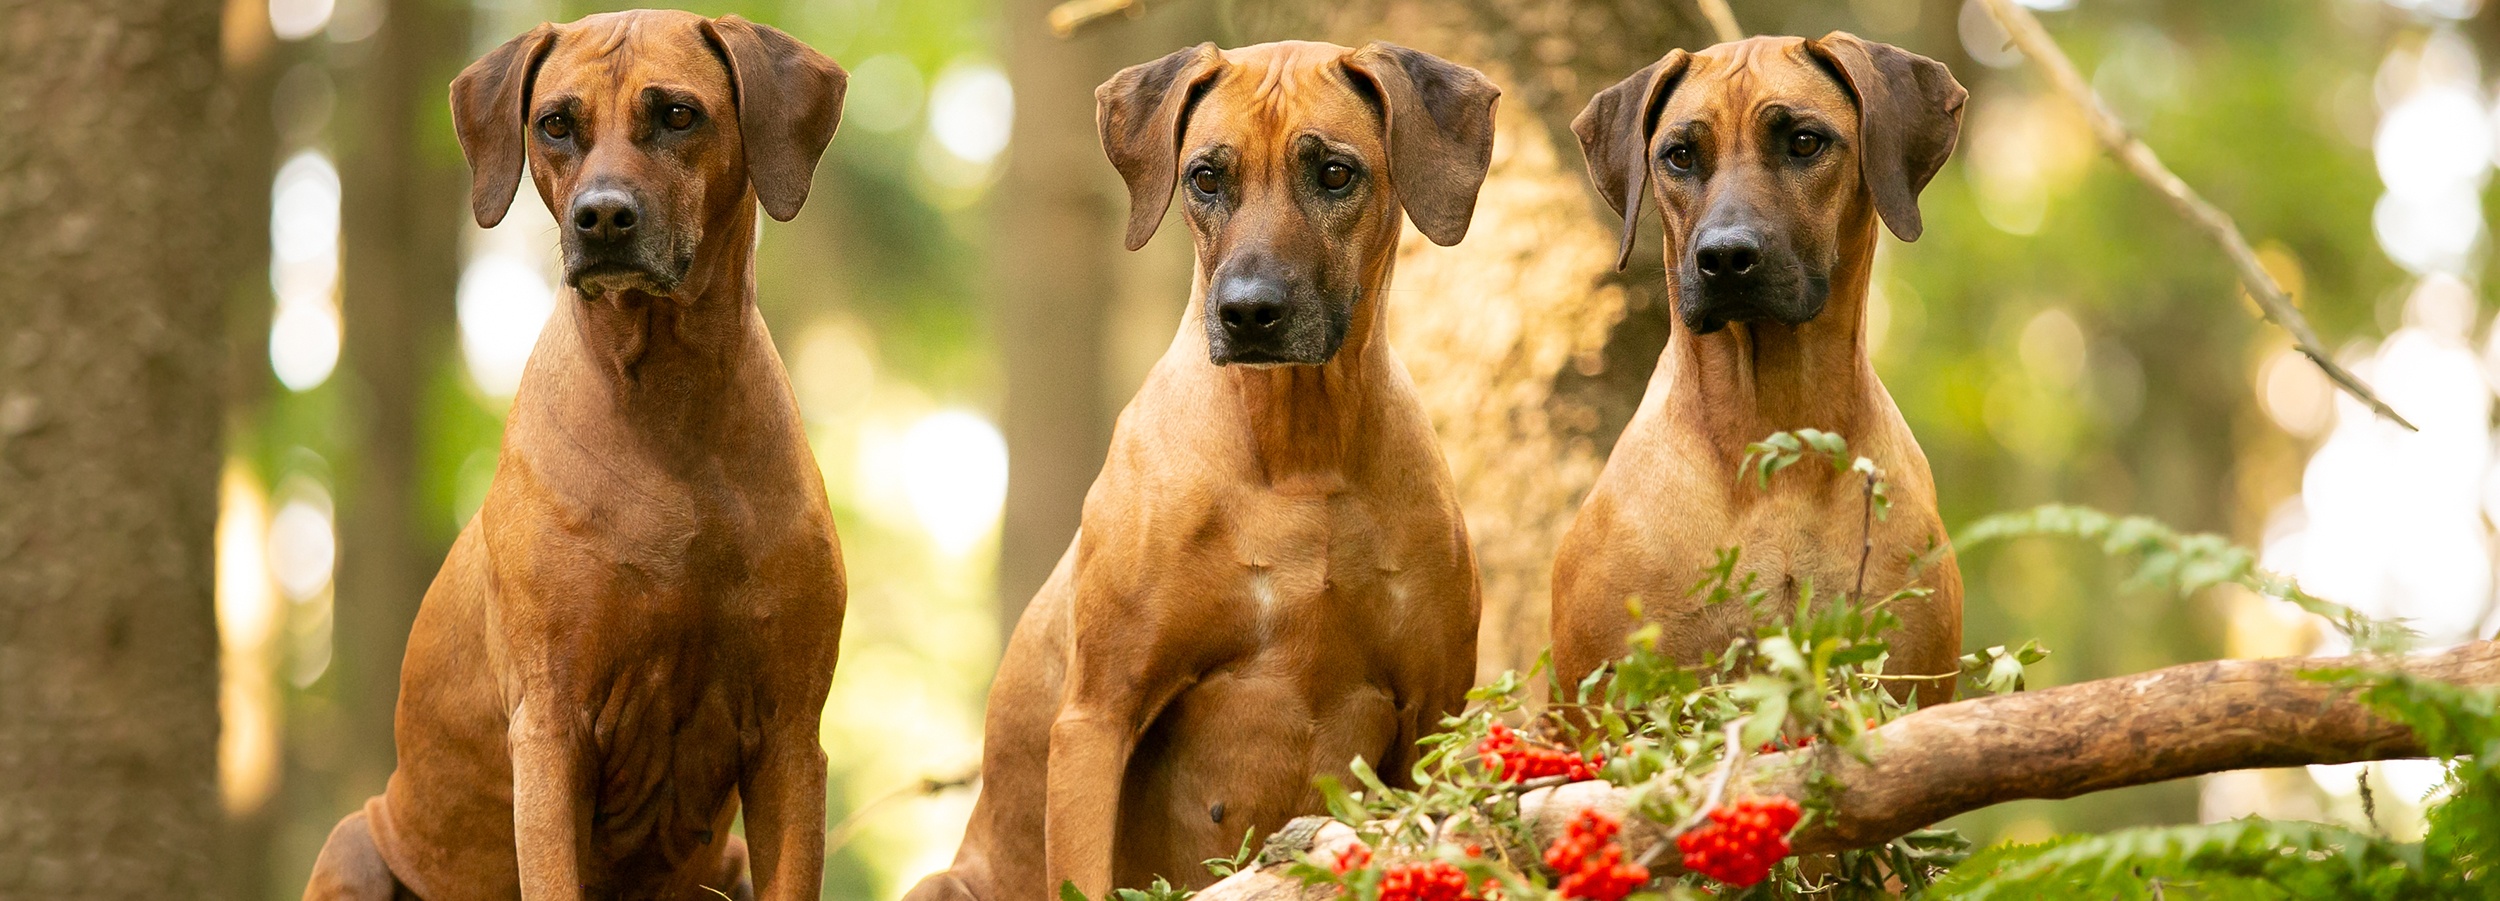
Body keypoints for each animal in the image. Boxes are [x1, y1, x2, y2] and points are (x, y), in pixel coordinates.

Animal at [300, 12, 850, 901]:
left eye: (678, 115)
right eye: (556, 124)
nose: (601, 216)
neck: (672, 397)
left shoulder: (792, 733)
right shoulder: (552, 724)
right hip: (355, 844)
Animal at [910, 40, 1490, 901]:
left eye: (1336, 173)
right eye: (1206, 177)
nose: (1248, 311)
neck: (1299, 451)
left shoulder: (1433, 713)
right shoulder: (1097, 713)